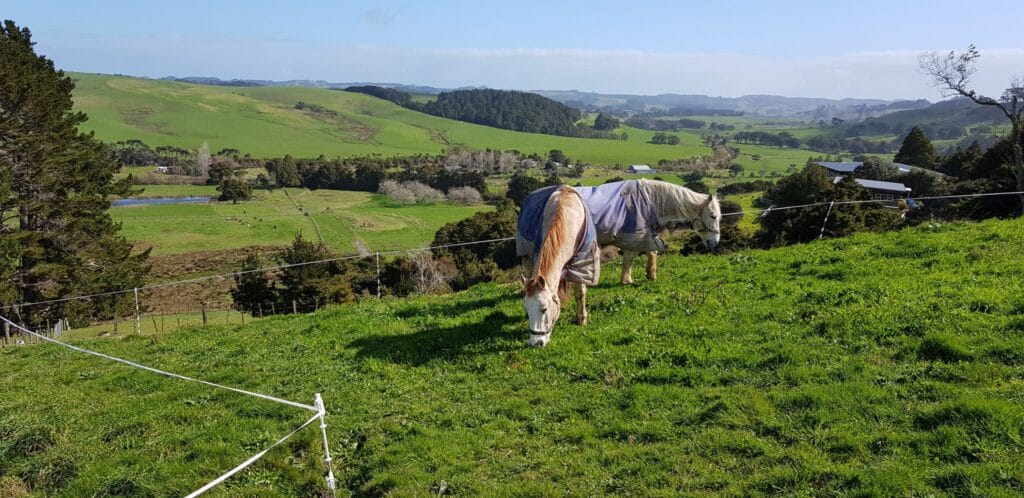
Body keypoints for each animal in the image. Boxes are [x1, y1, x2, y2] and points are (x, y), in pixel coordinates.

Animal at [516, 185, 600, 347]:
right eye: (527, 307)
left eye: (544, 309)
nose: (536, 343)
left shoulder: (582, 261)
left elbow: (580, 292)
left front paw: (582, 319)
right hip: (527, 257)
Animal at [575, 179, 721, 284]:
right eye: (713, 216)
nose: (714, 242)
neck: (648, 201)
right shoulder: (635, 235)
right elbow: (633, 256)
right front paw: (630, 280)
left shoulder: (639, 236)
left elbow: (644, 253)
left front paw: (646, 275)